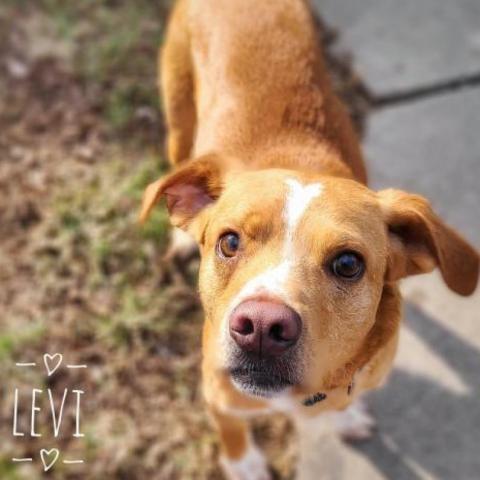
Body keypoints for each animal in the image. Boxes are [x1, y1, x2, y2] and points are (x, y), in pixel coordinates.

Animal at [140, 1, 480, 478]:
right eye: (229, 242)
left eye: (348, 264)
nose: (261, 328)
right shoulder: (218, 393)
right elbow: (232, 432)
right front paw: (244, 465)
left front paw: (346, 417)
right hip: (179, 118)